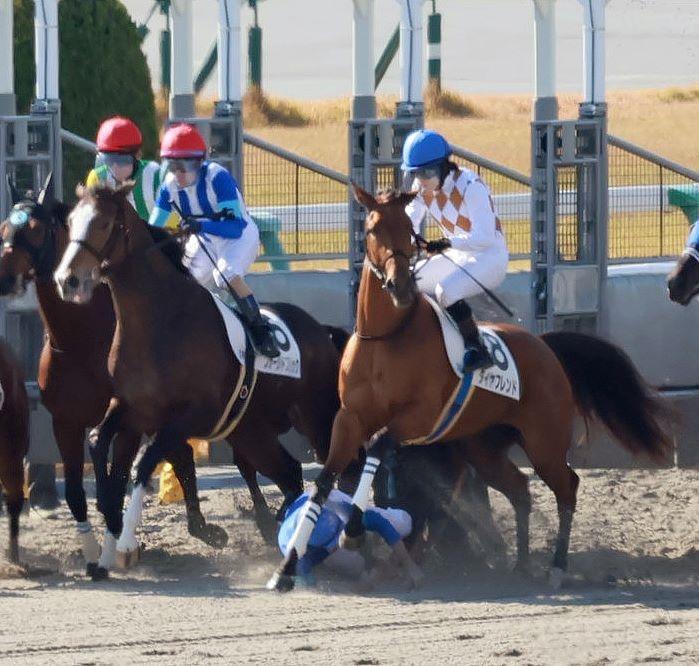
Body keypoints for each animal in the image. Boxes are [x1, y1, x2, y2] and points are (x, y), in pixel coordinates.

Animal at [54, 184, 348, 568]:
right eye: (71, 220)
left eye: (103, 223)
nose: (67, 279)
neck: (159, 322)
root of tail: (321, 331)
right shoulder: (133, 408)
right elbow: (97, 440)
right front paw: (109, 518)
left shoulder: (191, 415)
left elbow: (144, 464)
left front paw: (124, 541)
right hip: (251, 432)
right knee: (290, 474)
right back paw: (279, 526)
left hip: (316, 416)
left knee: (334, 469)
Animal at [268, 185, 672, 592]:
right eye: (372, 230)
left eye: (409, 233)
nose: (401, 287)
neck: (386, 337)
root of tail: (545, 347)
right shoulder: (349, 419)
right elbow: (323, 482)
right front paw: (286, 569)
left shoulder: (420, 419)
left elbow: (378, 445)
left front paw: (352, 531)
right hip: (484, 449)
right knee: (520, 488)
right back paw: (521, 564)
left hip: (544, 442)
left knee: (567, 486)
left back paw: (556, 568)